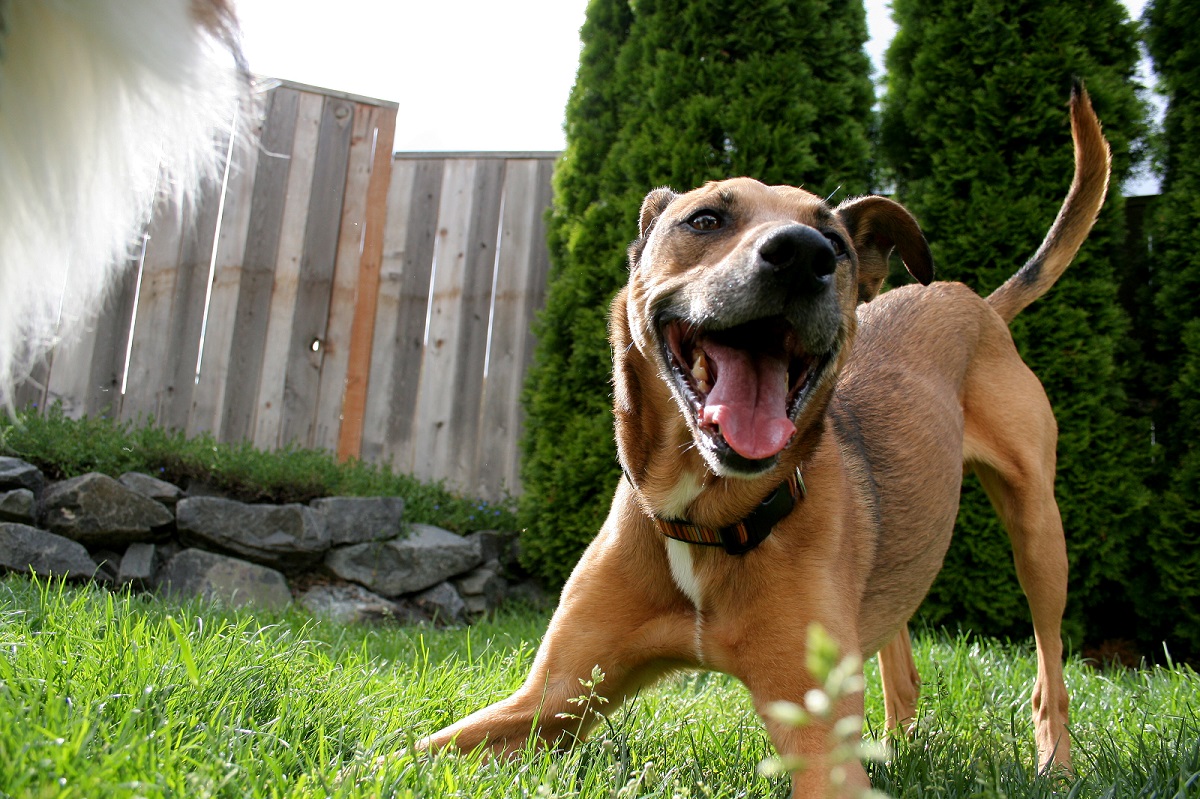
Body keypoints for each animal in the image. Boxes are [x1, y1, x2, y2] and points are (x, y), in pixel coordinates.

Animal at [424, 88, 1113, 796]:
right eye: (704, 219)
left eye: (833, 242)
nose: (804, 255)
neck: (708, 520)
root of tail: (974, 301)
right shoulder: (551, 697)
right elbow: (414, 747)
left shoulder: (819, 743)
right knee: (900, 661)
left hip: (1038, 532)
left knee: (1049, 669)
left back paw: (1055, 764)